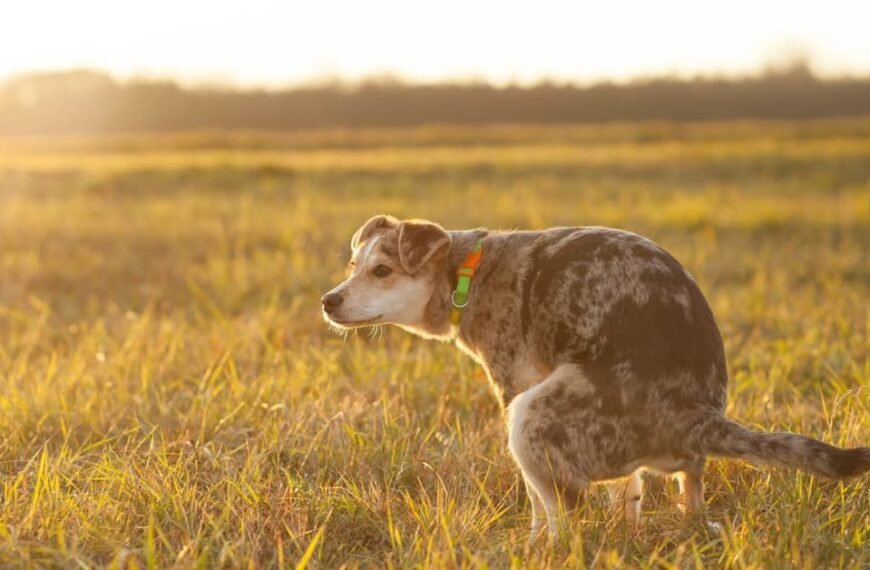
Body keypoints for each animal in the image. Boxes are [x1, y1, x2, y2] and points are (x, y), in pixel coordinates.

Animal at [322, 214, 870, 536]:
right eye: (351, 265)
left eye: (382, 271)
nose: (328, 301)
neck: (466, 273)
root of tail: (694, 415)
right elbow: (628, 491)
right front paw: (623, 528)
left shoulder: (515, 384)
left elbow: (538, 504)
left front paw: (533, 543)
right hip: (668, 462)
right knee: (687, 492)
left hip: (531, 416)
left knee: (566, 513)